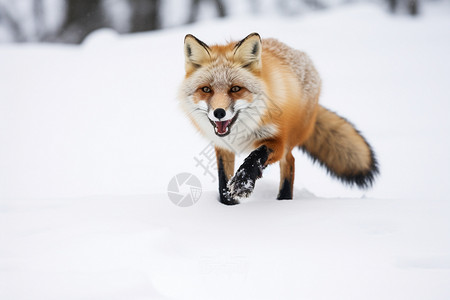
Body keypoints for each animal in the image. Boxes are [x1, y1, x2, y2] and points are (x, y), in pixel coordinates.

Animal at [178, 33, 378, 206]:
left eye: (235, 89)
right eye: (206, 89)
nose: (219, 112)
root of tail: (303, 57)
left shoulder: (277, 140)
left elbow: (256, 156)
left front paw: (243, 182)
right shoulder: (223, 146)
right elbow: (223, 181)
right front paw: (228, 205)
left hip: (290, 140)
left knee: (290, 162)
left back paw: (284, 200)